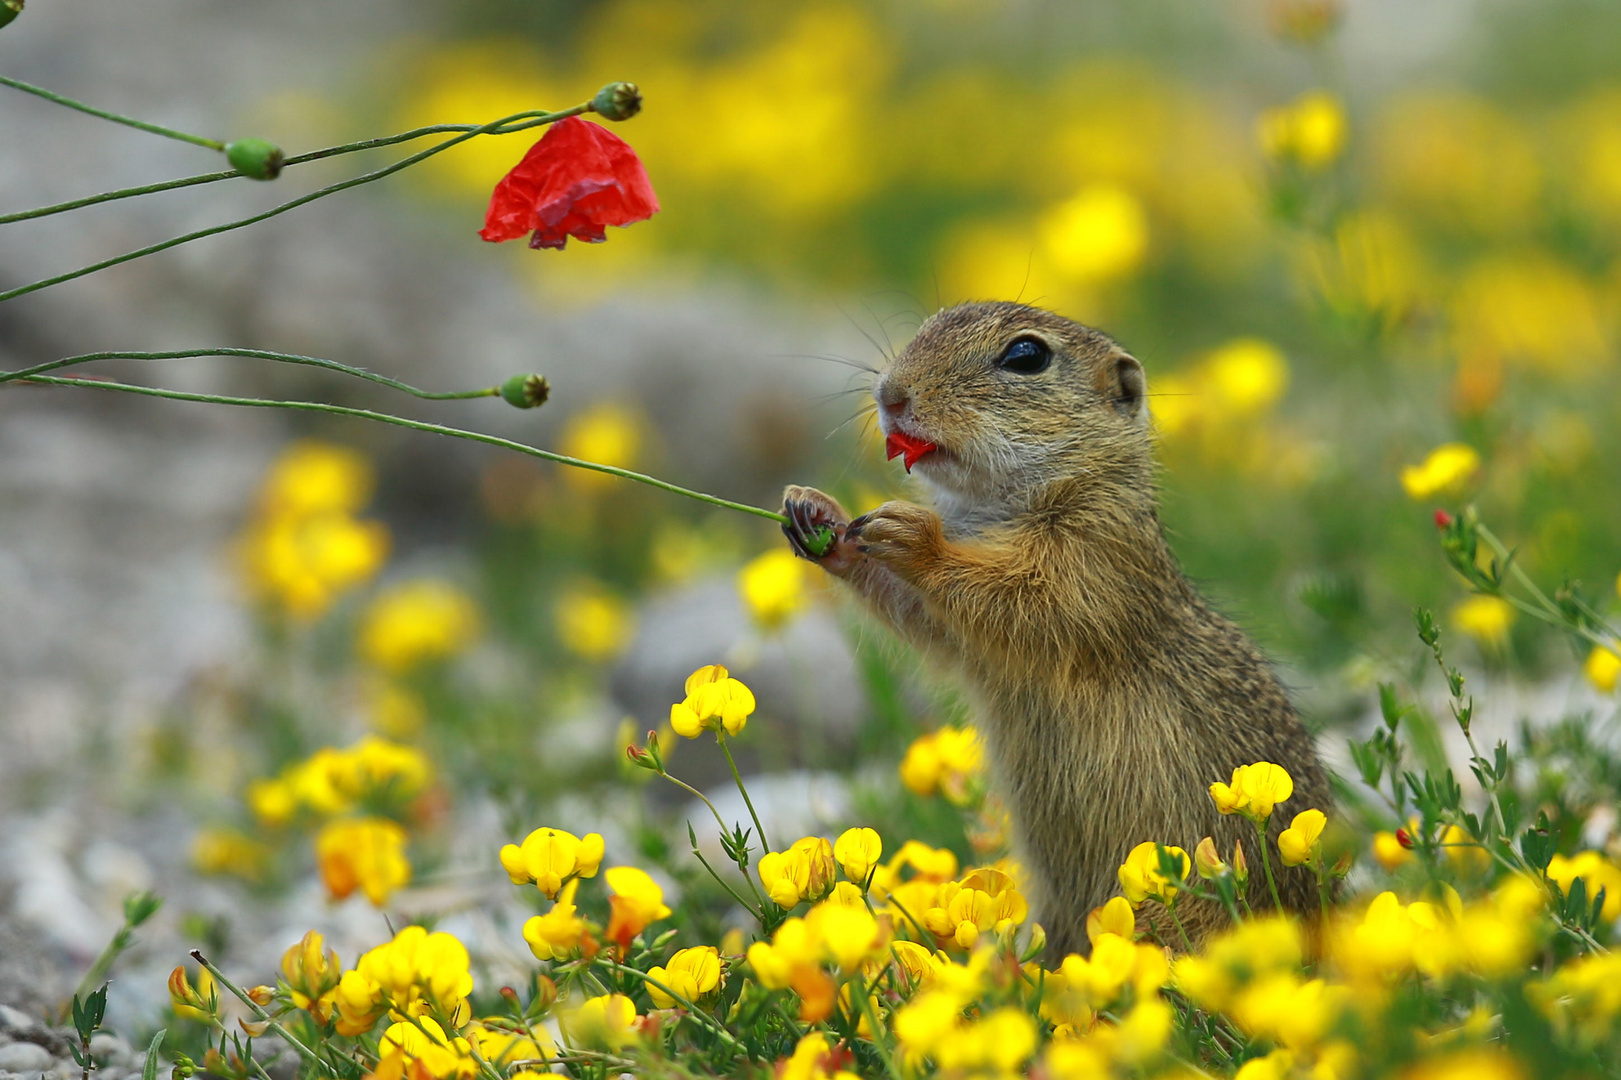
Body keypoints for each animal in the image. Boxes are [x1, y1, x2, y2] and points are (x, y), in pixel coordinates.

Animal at [784, 300, 1329, 953]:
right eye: (932, 320)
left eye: (1026, 356)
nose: (891, 394)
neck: (1006, 506)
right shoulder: (972, 639)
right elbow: (930, 621)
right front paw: (818, 516)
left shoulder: (1093, 557)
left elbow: (1026, 599)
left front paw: (914, 538)